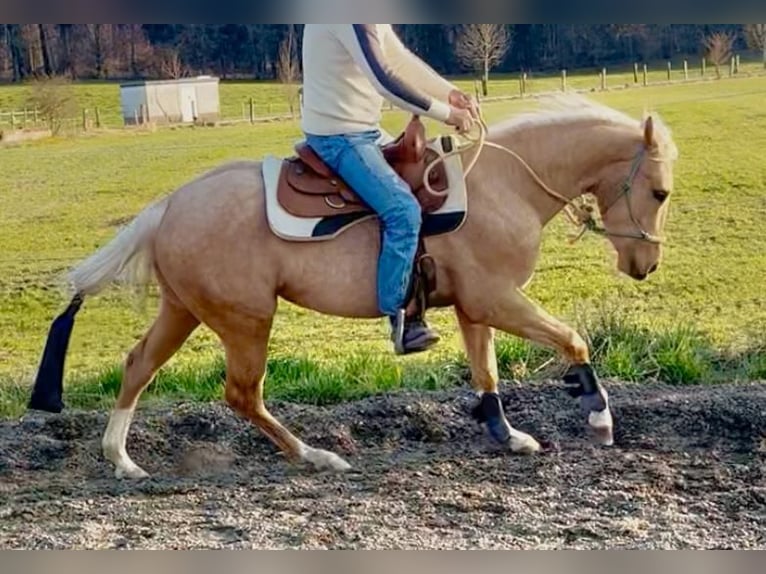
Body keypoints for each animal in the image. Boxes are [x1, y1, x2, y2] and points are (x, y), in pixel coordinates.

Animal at [28, 94, 677, 479]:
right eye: (660, 191)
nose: (646, 264)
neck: (504, 185)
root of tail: (170, 204)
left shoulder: (475, 306)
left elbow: (486, 371)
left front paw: (507, 435)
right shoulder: (497, 299)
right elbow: (572, 340)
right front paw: (598, 418)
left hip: (183, 310)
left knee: (139, 365)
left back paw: (122, 461)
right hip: (246, 321)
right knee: (241, 394)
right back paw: (316, 455)